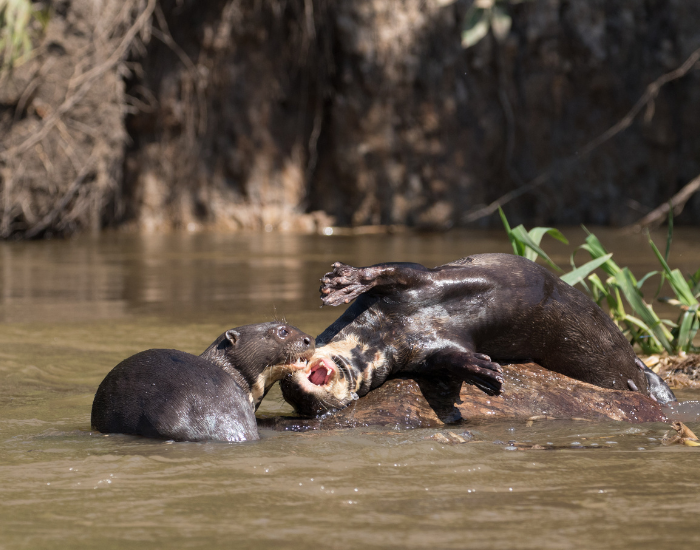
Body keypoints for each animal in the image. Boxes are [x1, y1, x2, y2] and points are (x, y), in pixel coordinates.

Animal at [281, 253, 675, 416]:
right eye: (295, 402)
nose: (296, 389)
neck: (384, 333)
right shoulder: (422, 354)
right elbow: (448, 358)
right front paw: (482, 370)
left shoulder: (419, 279)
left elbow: (389, 269)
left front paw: (342, 282)